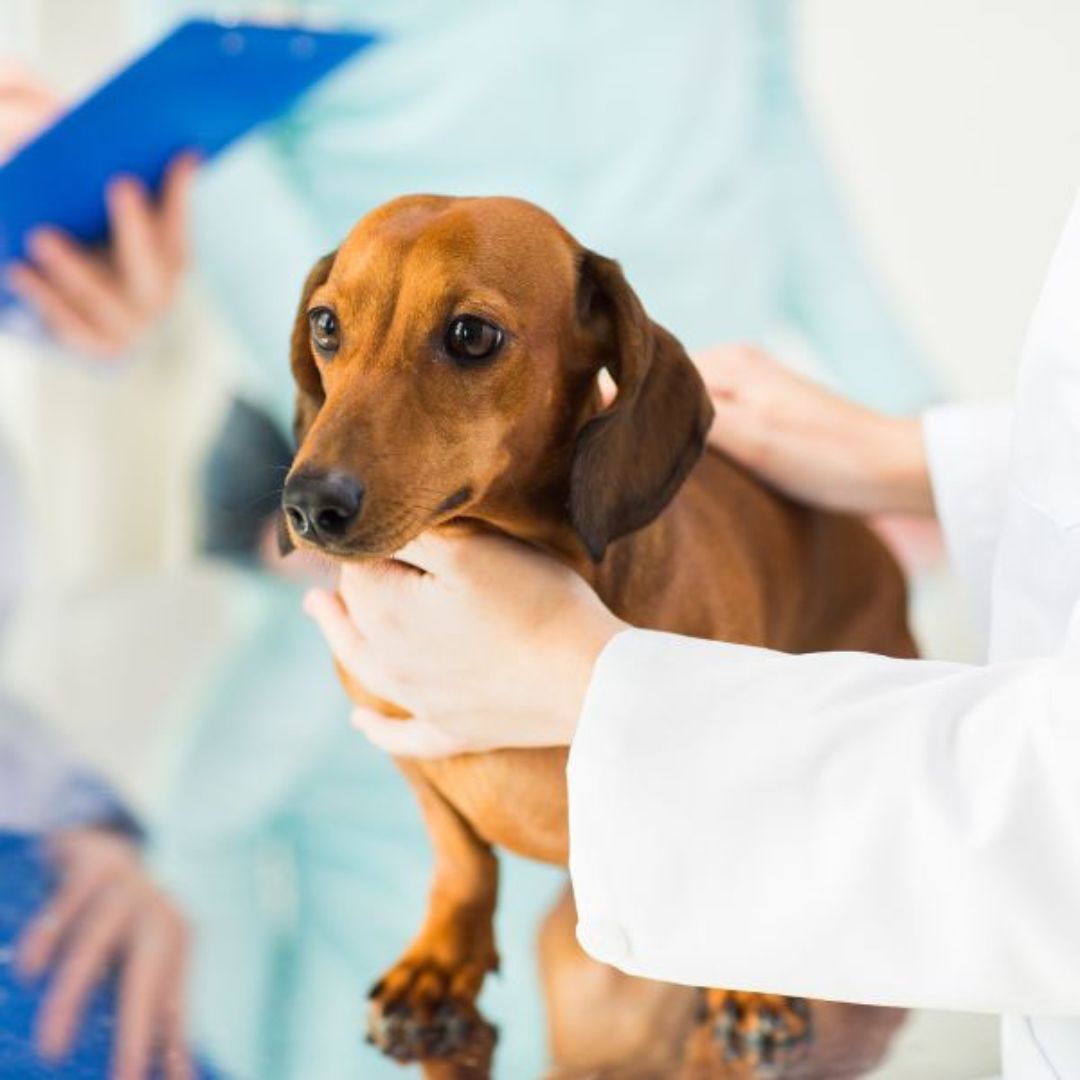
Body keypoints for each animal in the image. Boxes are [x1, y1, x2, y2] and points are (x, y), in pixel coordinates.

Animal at [280, 194, 920, 1080]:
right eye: (325, 324)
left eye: (471, 335)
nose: (309, 506)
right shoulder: (399, 737)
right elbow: (460, 858)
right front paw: (440, 967)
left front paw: (746, 983)